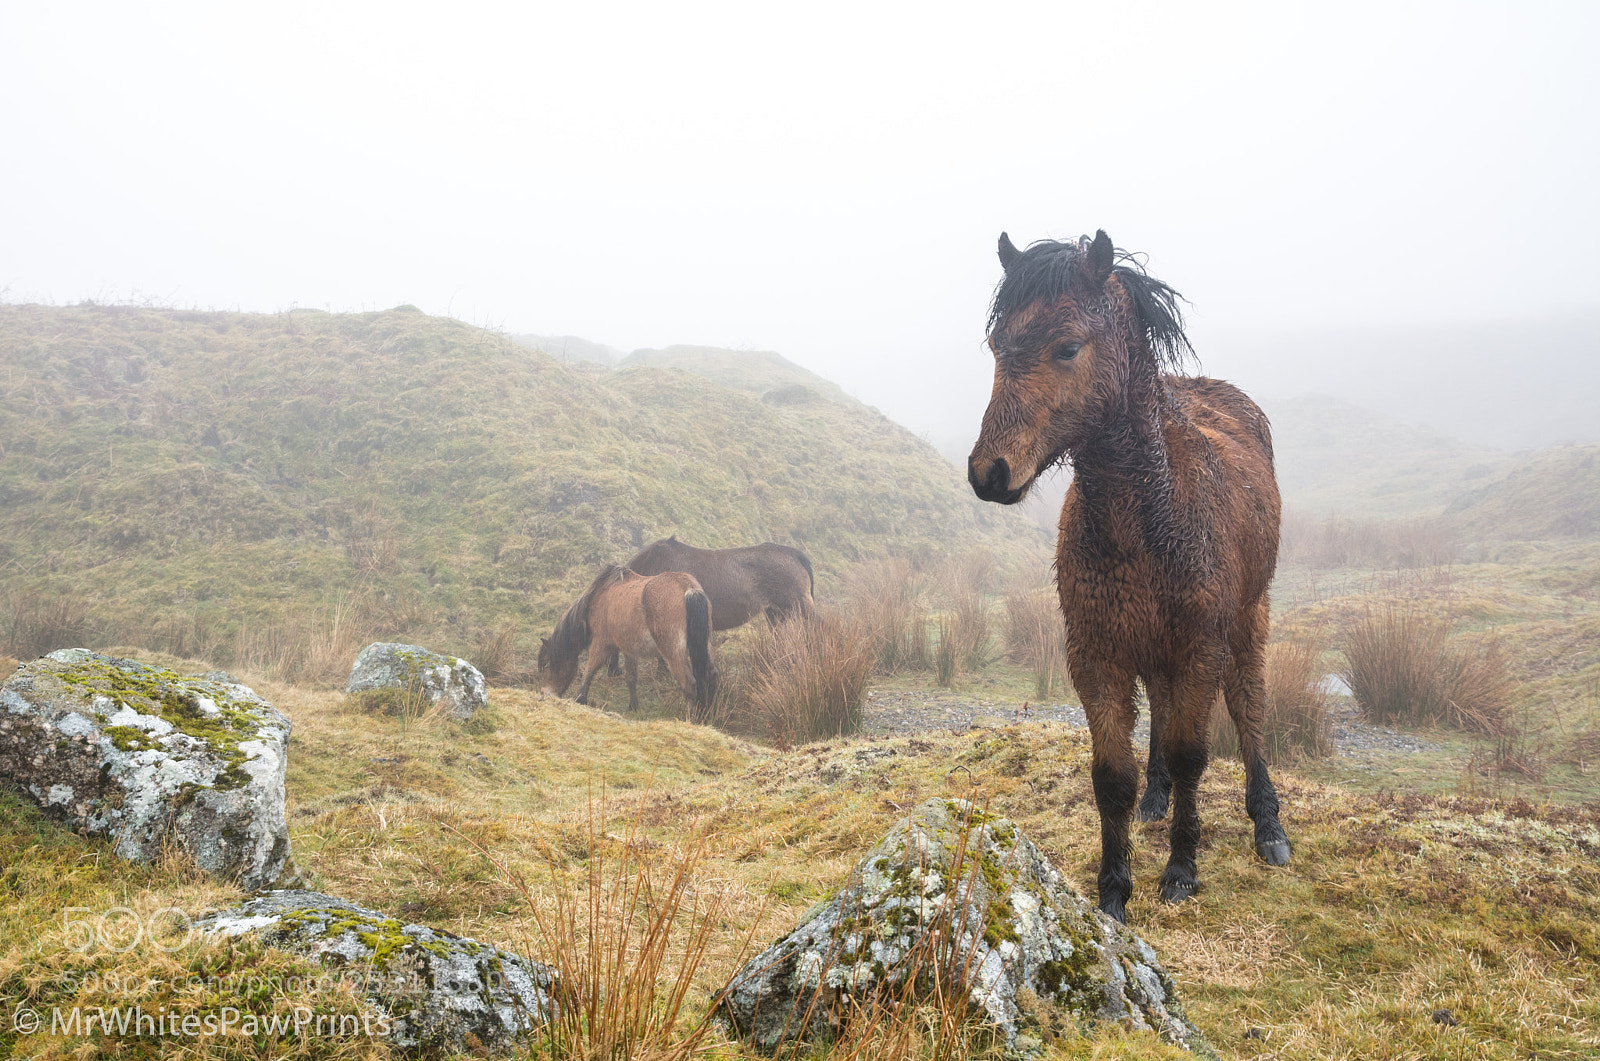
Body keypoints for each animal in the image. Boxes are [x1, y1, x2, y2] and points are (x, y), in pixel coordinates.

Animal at [537, 564, 716, 720]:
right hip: (704, 646)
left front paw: (580, 698)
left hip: (673, 652)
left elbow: (589, 670)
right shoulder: (629, 649)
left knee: (689, 684)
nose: (545, 694)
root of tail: (688, 588)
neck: (600, 596)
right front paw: (633, 706)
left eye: (546, 664)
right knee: (711, 676)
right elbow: (631, 678)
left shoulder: (601, 643)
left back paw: (691, 719)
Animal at [967, 229, 1290, 923]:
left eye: (1067, 346)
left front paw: (1181, 871)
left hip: (1248, 618)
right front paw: (1113, 889)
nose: (989, 473)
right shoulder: (1097, 653)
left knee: (1247, 705)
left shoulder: (1199, 648)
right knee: (1164, 714)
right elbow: (1112, 774)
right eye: (997, 345)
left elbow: (1193, 754)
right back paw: (1155, 802)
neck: (1143, 520)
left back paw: (1268, 825)